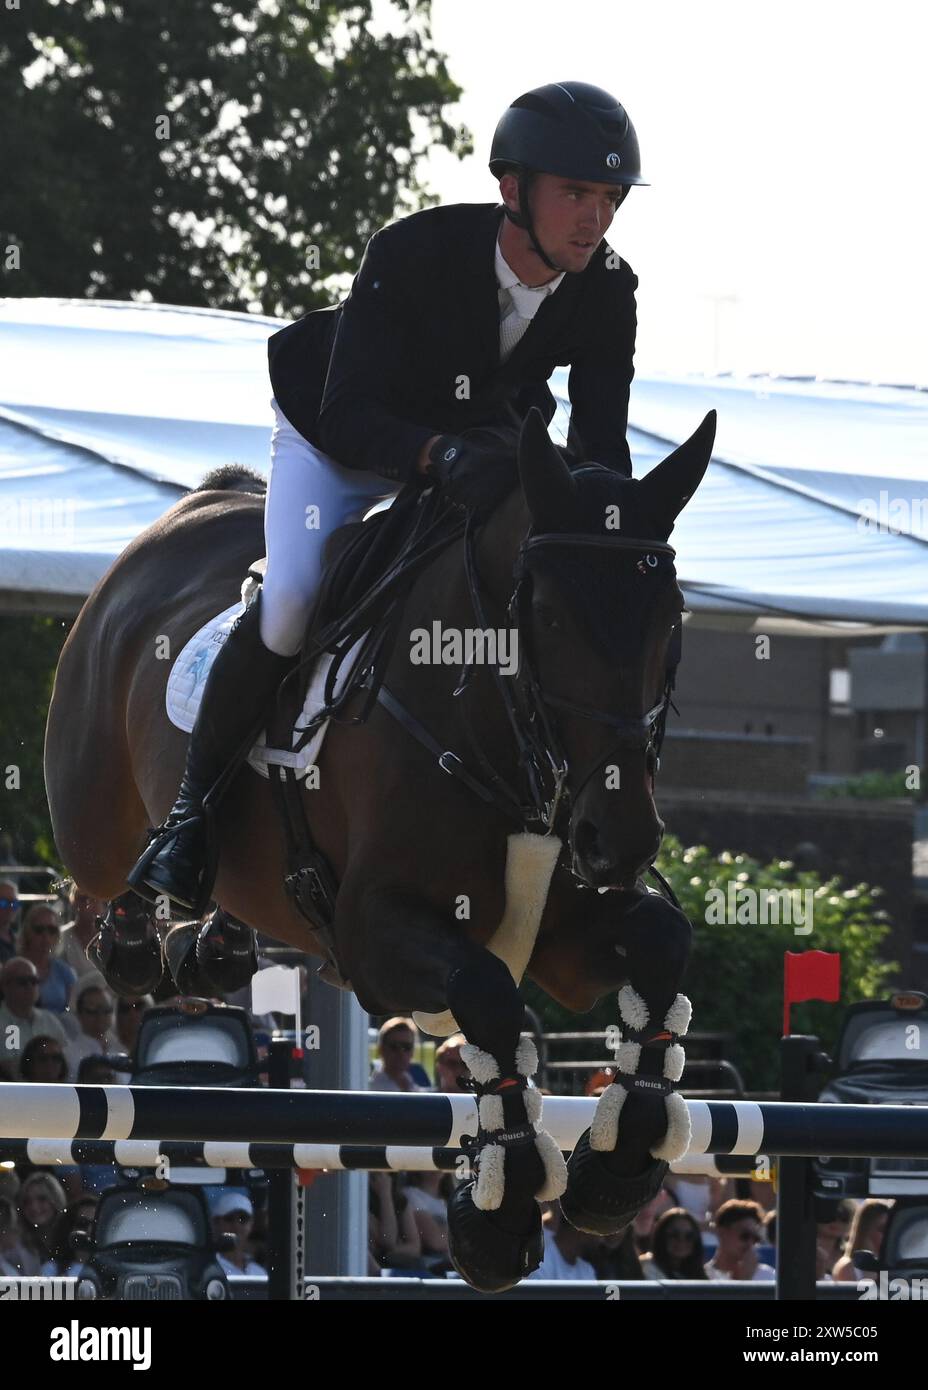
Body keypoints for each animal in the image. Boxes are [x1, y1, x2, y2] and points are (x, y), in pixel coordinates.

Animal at [45, 405, 716, 1289]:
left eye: (669, 620)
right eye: (548, 618)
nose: (621, 841)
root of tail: (189, 510)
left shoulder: (566, 936)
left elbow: (661, 942)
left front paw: (618, 1164)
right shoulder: (371, 934)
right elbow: (489, 995)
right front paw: (501, 1209)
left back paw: (215, 944)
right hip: (91, 812)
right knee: (99, 875)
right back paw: (142, 925)